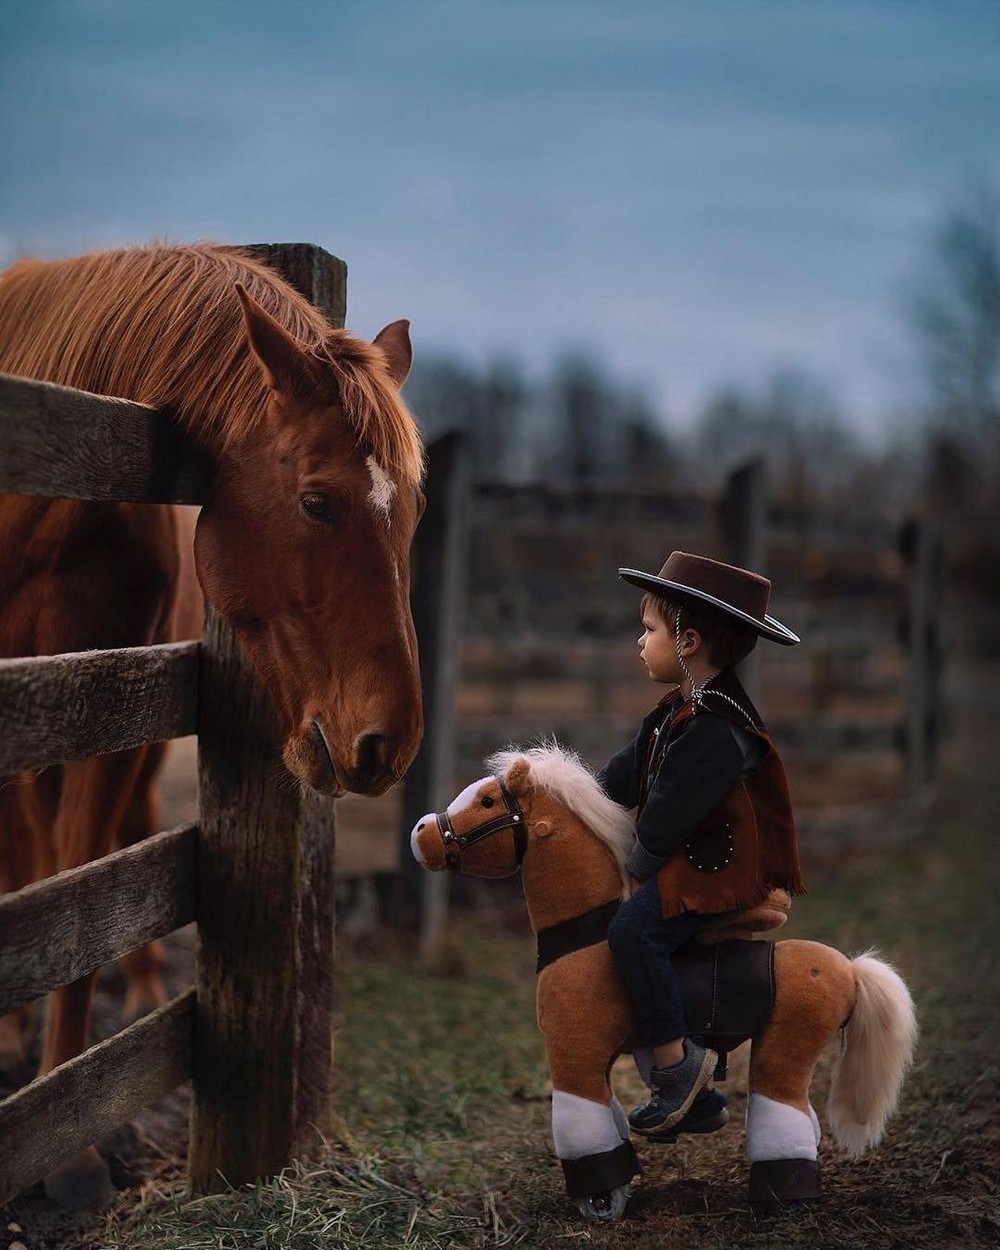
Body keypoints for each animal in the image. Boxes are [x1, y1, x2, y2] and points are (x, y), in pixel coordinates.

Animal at [0, 241, 425, 1200]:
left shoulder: (105, 714)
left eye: (416, 513)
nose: (388, 743)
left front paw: (67, 1142)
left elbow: (83, 897)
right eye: (317, 502)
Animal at [410, 745, 920, 1215]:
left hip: (783, 1050)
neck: (587, 940)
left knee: (785, 1112)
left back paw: (784, 1198)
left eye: (488, 801)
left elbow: (584, 1129)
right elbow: (615, 1118)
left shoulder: (574, 1055)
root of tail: (849, 970)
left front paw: (601, 1198)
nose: (421, 833)